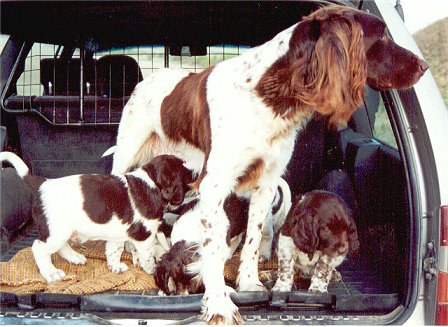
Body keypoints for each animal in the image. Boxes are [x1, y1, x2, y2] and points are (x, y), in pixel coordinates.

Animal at [0, 152, 191, 284]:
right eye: (185, 172)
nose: (195, 173)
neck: (150, 184)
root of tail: (42, 184)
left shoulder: (117, 234)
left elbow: (114, 252)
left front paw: (115, 268)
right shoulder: (144, 236)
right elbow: (148, 255)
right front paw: (151, 269)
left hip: (63, 231)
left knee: (61, 246)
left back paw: (75, 257)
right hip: (57, 231)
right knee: (38, 248)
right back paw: (51, 273)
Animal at [107, 5, 428, 326]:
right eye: (381, 35)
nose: (424, 66)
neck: (268, 96)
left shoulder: (266, 181)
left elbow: (252, 239)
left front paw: (249, 283)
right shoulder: (215, 183)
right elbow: (211, 250)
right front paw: (219, 303)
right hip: (126, 154)